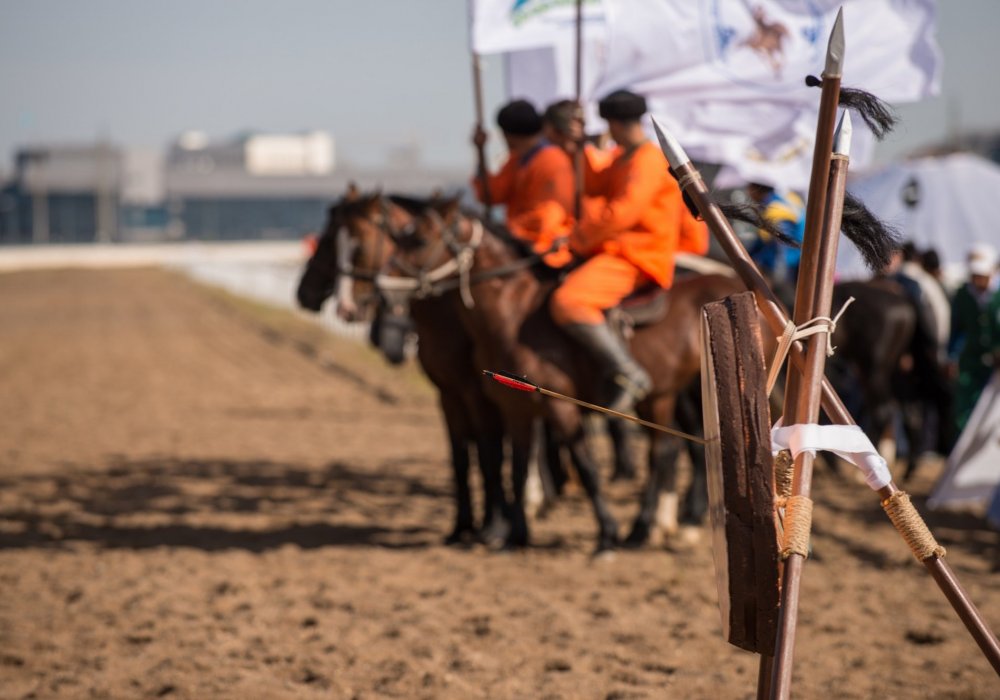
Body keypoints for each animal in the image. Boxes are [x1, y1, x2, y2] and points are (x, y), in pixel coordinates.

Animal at [296, 193, 508, 548]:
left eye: (358, 243)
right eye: (330, 238)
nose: (304, 294)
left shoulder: (476, 393)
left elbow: (488, 453)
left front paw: (493, 527)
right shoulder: (448, 393)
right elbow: (461, 457)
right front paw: (462, 526)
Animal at [372, 196, 748, 552]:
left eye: (419, 240)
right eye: (395, 238)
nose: (382, 287)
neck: (515, 314)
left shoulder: (558, 407)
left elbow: (585, 467)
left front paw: (606, 535)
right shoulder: (511, 408)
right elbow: (517, 468)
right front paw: (515, 536)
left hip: (665, 397)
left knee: (662, 456)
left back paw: (643, 529)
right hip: (664, 396)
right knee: (672, 451)